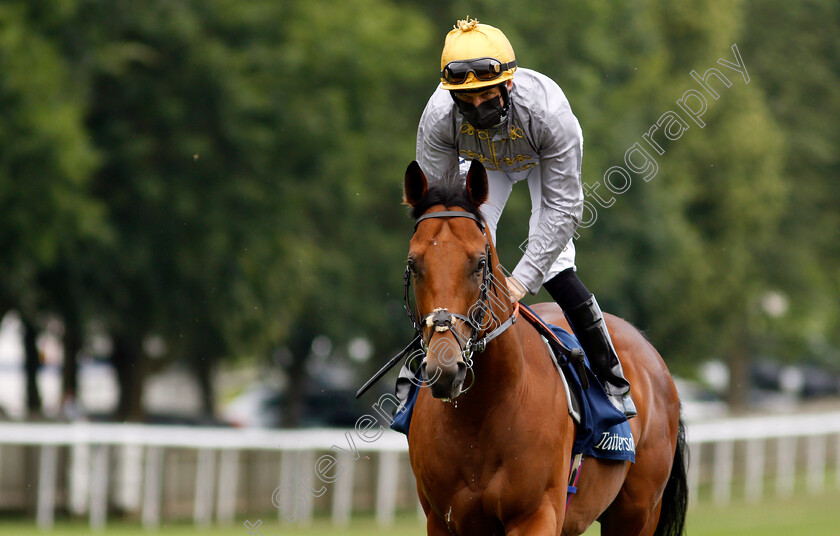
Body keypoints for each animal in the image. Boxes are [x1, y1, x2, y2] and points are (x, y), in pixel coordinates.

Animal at [402, 160, 688, 536]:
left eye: (480, 263)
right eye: (413, 263)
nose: (445, 369)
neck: (480, 413)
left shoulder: (536, 515)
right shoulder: (442, 521)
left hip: (637, 512)